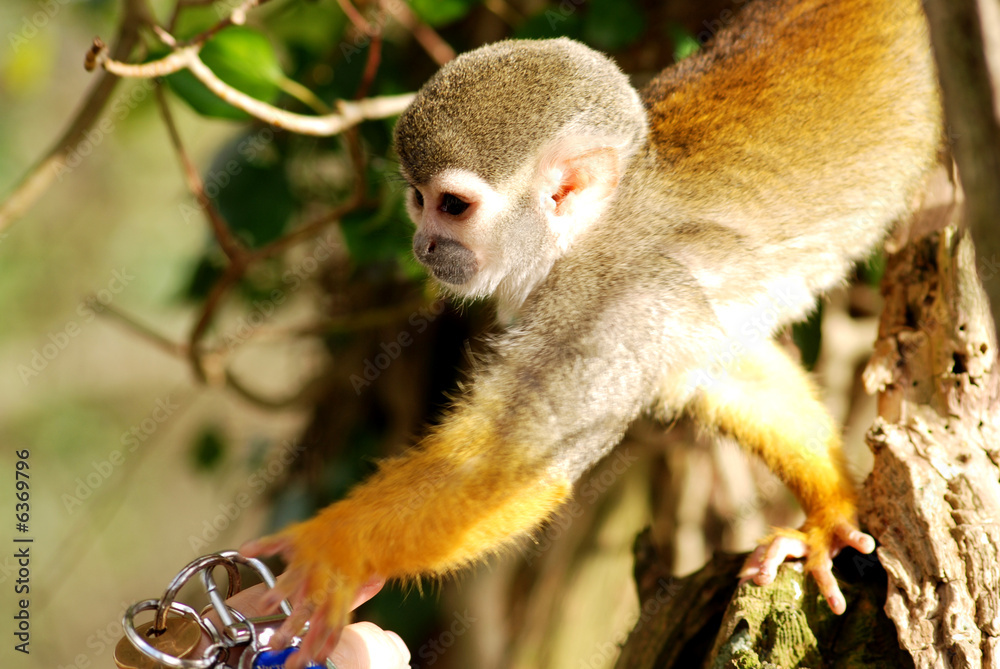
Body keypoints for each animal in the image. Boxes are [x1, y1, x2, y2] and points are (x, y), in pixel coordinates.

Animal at [242, 0, 941, 663]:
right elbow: (726, 369)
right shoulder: (655, 307)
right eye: (416, 199)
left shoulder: (610, 301)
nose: (423, 244)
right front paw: (831, 514)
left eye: (452, 206)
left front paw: (329, 550)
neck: (587, 233)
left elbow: (514, 462)